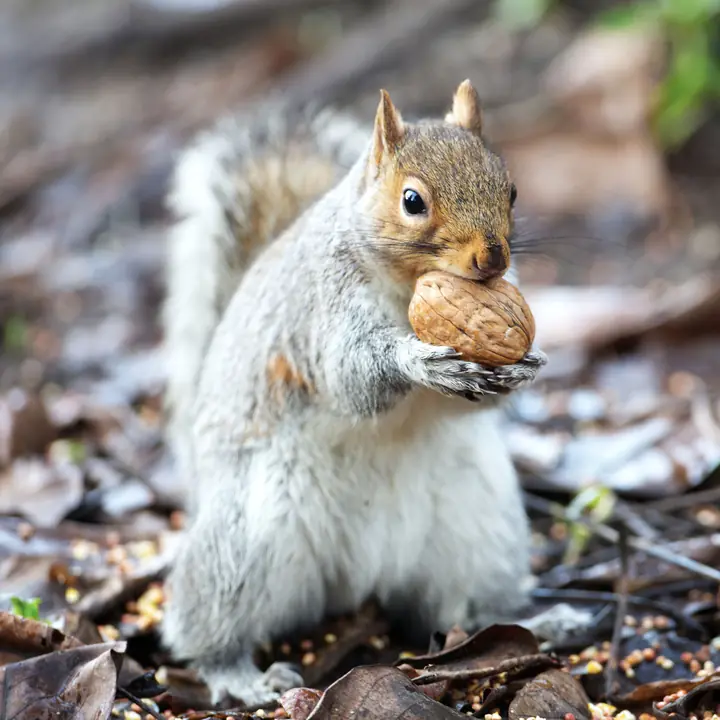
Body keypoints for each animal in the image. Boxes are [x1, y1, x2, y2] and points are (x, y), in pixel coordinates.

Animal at [160, 81, 553, 708]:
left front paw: (527, 362)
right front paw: (417, 361)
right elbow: (351, 377)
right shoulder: (326, 310)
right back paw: (238, 675)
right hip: (243, 538)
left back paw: (540, 621)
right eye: (412, 201)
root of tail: (359, 575)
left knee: (464, 603)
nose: (493, 258)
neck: (407, 287)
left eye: (511, 188)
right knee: (206, 621)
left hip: (482, 525)